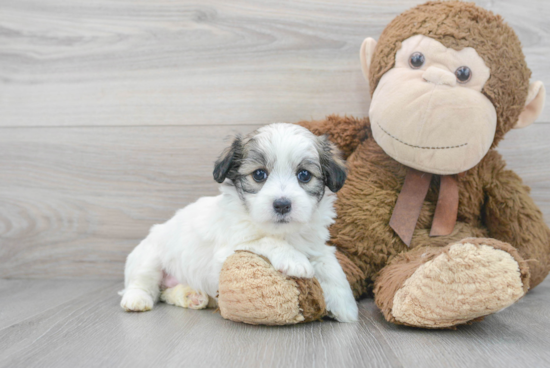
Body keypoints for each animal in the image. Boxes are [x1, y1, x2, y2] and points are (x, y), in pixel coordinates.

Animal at [120, 123, 360, 322]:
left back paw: (192, 296)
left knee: (165, 293)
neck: (284, 232)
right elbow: (265, 240)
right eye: (259, 174)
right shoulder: (228, 250)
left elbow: (330, 265)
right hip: (149, 258)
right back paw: (136, 299)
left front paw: (345, 305)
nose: (282, 205)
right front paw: (294, 259)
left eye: (304, 175)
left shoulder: (315, 244)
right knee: (143, 283)